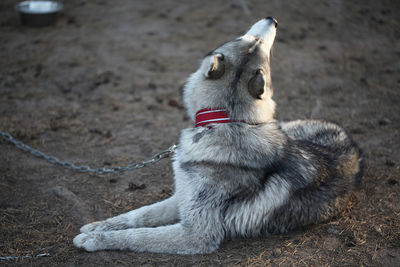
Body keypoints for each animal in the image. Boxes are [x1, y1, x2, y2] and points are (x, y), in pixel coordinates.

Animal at [72, 16, 362, 255]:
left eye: (252, 42)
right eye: (244, 39)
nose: (273, 19)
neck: (224, 122)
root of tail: (351, 142)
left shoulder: (197, 234)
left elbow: (139, 235)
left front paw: (95, 240)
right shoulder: (181, 198)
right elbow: (139, 215)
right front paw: (99, 226)